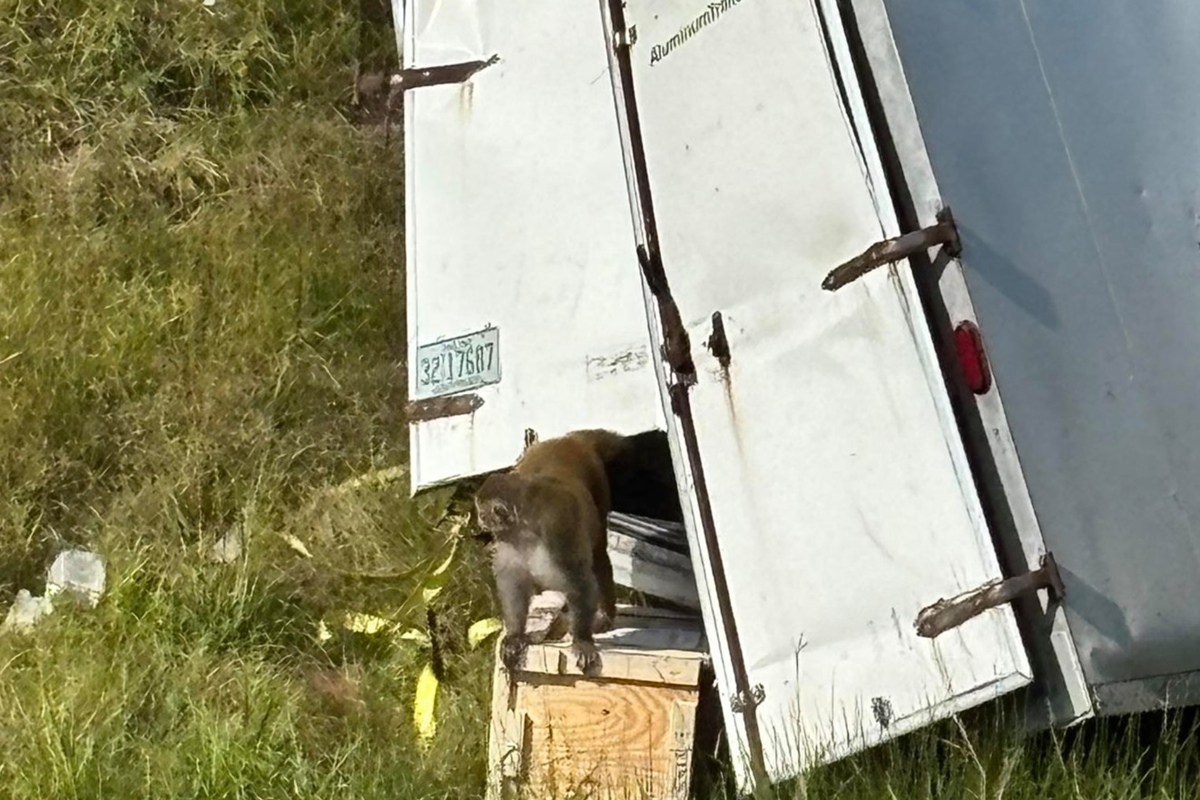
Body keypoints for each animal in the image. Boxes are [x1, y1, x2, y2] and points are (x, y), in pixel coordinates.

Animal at [475, 429, 636, 678]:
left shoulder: (558, 529)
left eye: (483, 513)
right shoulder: (508, 542)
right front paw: (515, 635)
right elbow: (514, 584)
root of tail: (568, 439)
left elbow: (579, 581)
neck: (525, 528)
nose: (479, 520)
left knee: (598, 554)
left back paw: (604, 615)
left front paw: (582, 640)